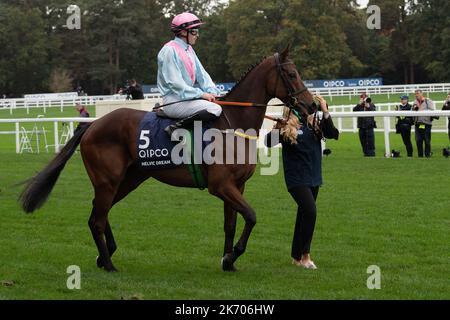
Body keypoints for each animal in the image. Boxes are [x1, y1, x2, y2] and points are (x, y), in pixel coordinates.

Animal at [20, 45, 316, 272]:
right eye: (292, 74)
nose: (311, 105)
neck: (233, 123)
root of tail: (92, 125)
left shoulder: (237, 186)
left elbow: (231, 224)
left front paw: (228, 261)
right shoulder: (220, 186)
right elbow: (252, 216)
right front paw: (232, 255)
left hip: (129, 179)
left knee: (100, 213)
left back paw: (106, 255)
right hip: (108, 180)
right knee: (97, 219)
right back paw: (109, 263)